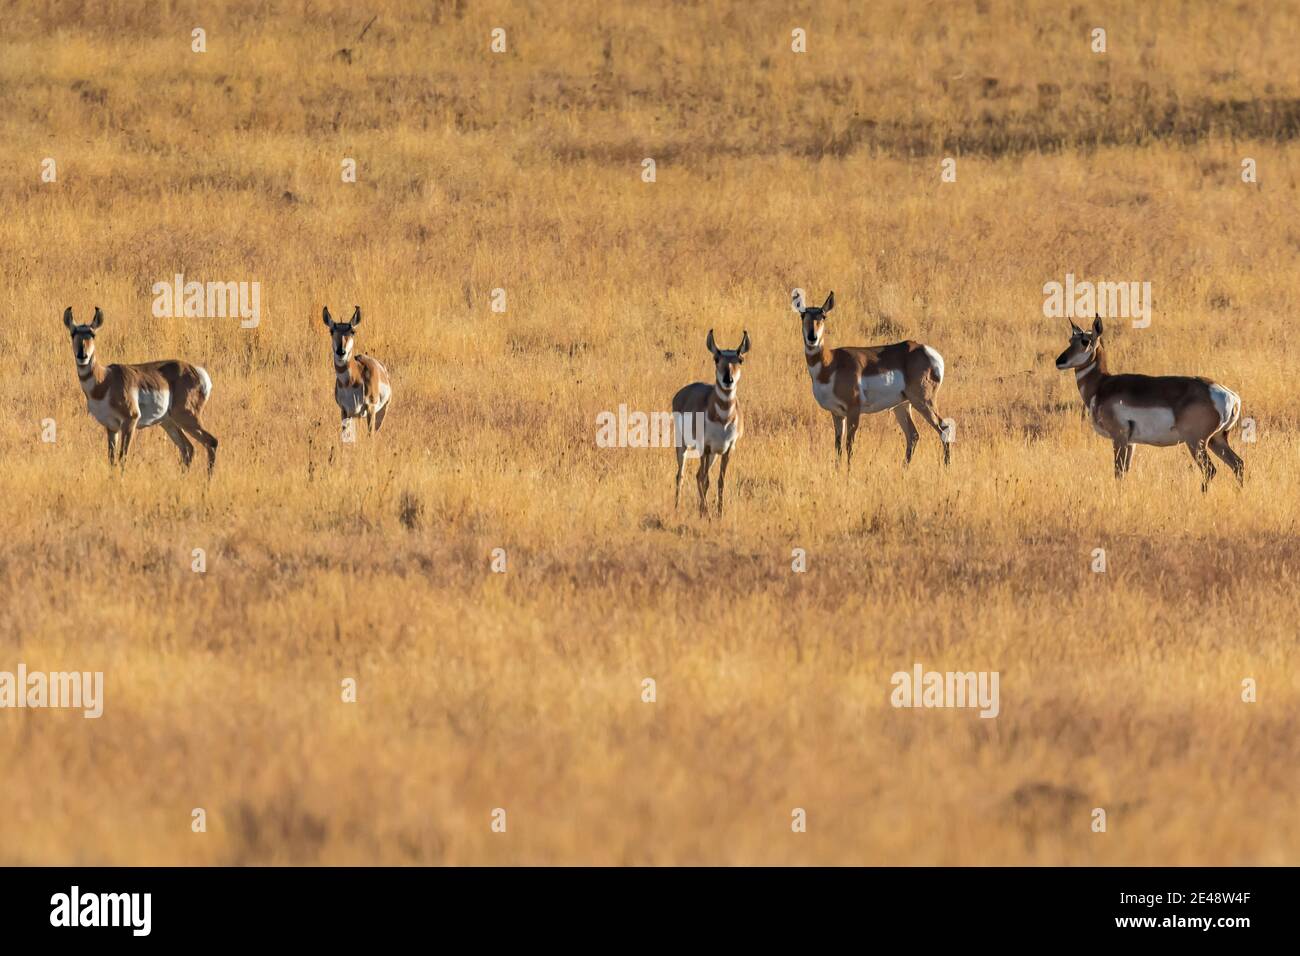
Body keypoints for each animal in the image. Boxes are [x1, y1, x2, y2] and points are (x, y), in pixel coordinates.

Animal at [63, 304, 218, 473]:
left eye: (93, 334)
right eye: (73, 333)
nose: (82, 355)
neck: (105, 380)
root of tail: (195, 370)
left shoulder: (130, 421)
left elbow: (122, 458)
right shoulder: (111, 427)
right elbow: (111, 460)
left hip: (186, 417)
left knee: (211, 442)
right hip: (169, 422)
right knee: (188, 449)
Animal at [321, 308, 390, 439]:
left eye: (352, 331)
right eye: (331, 331)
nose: (341, 352)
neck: (351, 381)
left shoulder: (371, 409)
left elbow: (370, 435)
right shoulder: (344, 411)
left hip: (381, 412)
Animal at [676, 332, 748, 520]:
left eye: (740, 359)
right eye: (716, 358)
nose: (728, 379)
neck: (723, 419)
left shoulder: (728, 449)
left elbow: (720, 481)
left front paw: (718, 513)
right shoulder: (705, 447)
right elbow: (705, 480)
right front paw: (707, 514)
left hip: (713, 455)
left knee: (696, 475)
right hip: (683, 446)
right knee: (681, 475)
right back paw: (677, 507)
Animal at [785, 291, 951, 470]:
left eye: (823, 316)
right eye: (803, 315)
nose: (812, 337)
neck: (831, 363)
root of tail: (928, 352)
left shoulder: (853, 410)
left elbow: (849, 444)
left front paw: (848, 471)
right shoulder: (837, 413)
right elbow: (837, 445)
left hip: (923, 402)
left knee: (944, 428)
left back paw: (946, 467)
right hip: (902, 406)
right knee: (913, 435)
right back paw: (904, 469)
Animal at [1050, 316, 1242, 489]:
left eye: (1085, 341)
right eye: (1070, 339)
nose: (1059, 361)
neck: (1102, 385)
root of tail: (1229, 395)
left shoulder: (1119, 438)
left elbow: (1118, 473)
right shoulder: (1131, 443)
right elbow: (1124, 473)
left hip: (1196, 442)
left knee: (1210, 470)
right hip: (1216, 440)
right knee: (1238, 464)